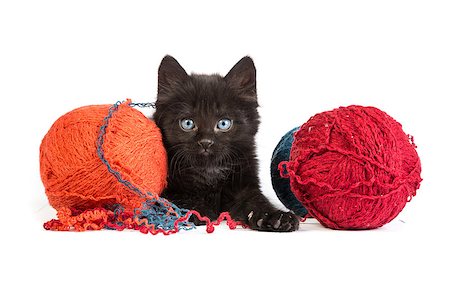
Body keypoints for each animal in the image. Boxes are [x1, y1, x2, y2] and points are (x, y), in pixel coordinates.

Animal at [154, 55, 298, 232]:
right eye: (187, 123)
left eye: (223, 124)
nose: (206, 143)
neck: (209, 170)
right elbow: (173, 196)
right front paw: (195, 210)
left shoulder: (245, 185)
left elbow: (257, 200)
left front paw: (275, 217)